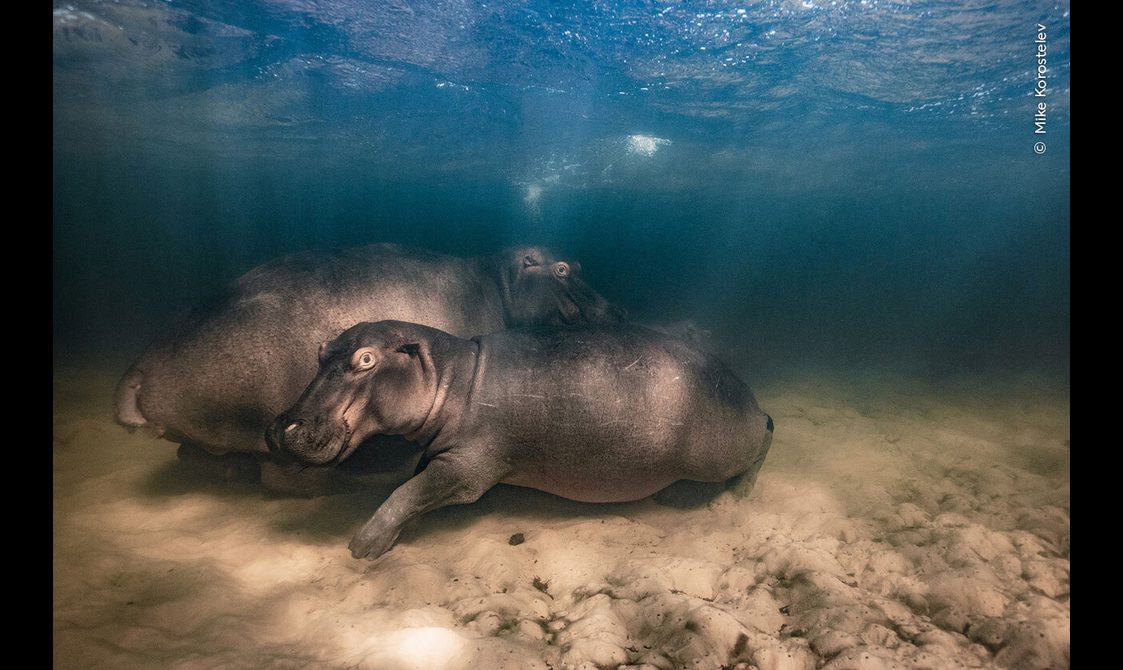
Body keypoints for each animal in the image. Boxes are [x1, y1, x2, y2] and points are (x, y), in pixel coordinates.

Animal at [114, 244, 622, 491]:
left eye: (579, 263)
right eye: (563, 268)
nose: (617, 311)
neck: (499, 283)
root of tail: (139, 370)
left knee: (197, 456)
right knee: (284, 478)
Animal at [267, 320, 774, 560]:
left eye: (367, 359)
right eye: (320, 351)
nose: (280, 428)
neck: (453, 376)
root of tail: (745, 391)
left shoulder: (468, 468)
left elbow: (408, 492)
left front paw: (363, 545)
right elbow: (411, 483)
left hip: (718, 453)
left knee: (765, 435)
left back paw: (737, 496)